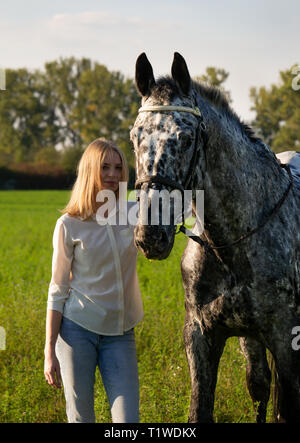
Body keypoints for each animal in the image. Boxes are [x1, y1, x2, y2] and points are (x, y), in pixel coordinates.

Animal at [131, 52, 300, 424]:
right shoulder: (201, 336)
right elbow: (203, 409)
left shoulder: (286, 339)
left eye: (185, 138)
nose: (151, 235)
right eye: (136, 136)